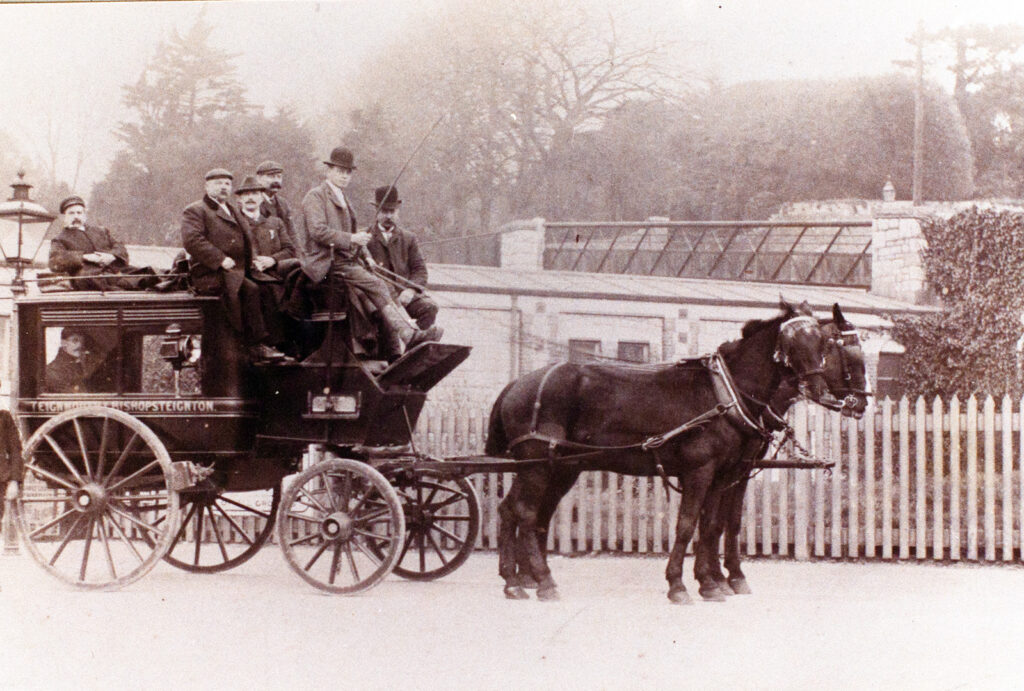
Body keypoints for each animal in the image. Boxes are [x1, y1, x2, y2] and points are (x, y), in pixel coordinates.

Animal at [487, 300, 839, 601]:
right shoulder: (700, 471)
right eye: (792, 339)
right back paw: (541, 582)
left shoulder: (723, 474)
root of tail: (518, 384)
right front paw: (679, 584)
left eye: (821, 341)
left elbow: (711, 525)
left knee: (516, 512)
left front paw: (710, 582)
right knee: (526, 513)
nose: (818, 388)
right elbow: (686, 525)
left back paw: (516, 580)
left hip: (560, 467)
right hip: (536, 465)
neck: (725, 393)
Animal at [692, 303, 868, 601]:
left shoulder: (737, 468)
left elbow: (724, 521)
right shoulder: (733, 468)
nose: (863, 403)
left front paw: (723, 576)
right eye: (850, 353)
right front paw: (723, 577)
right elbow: (718, 522)